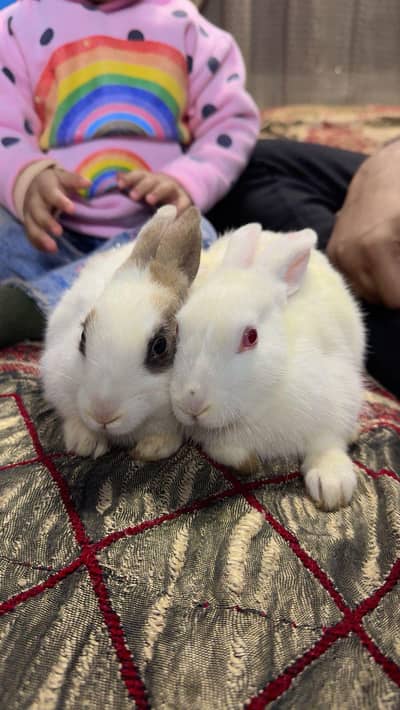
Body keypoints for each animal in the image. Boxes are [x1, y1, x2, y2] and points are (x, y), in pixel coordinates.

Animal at [170, 223, 366, 511]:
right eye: (178, 328)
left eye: (251, 337)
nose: (192, 403)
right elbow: (223, 448)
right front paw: (246, 462)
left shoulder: (336, 398)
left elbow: (327, 443)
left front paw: (333, 486)